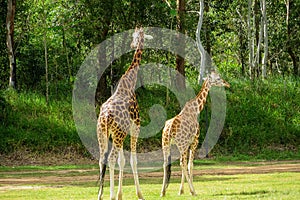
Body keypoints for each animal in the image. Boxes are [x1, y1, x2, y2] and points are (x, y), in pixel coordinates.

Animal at [97, 27, 150, 200]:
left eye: (135, 36)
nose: (132, 44)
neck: (129, 84)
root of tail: (106, 116)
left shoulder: (118, 133)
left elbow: (123, 160)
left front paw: (121, 194)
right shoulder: (136, 127)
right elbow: (133, 160)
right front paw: (139, 194)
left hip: (103, 133)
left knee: (102, 159)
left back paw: (100, 194)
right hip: (118, 134)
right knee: (111, 159)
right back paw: (111, 195)